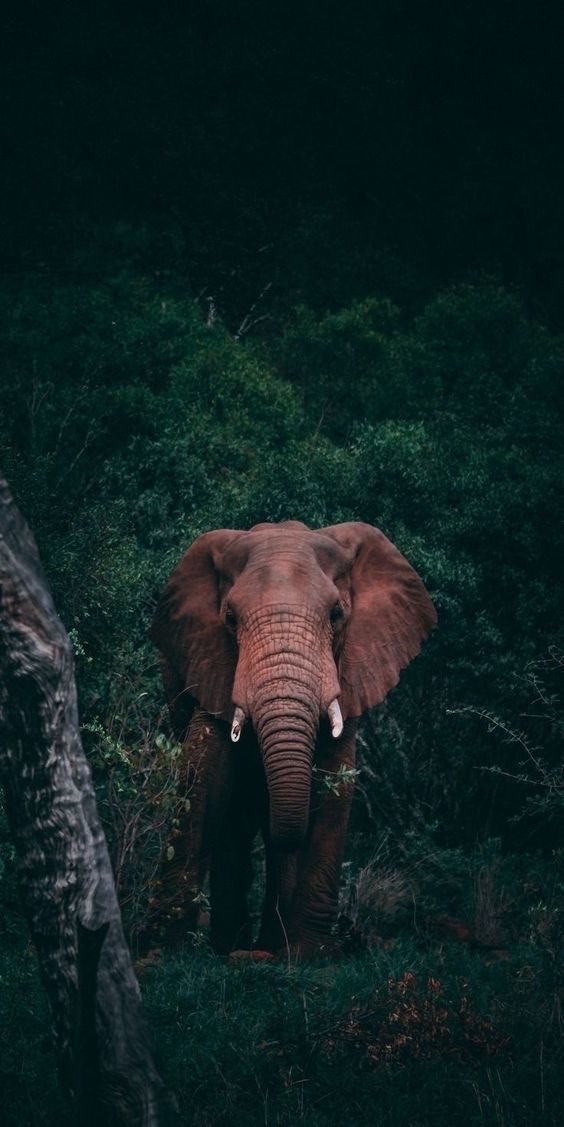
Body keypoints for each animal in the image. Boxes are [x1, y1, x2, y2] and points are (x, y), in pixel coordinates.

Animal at [149, 520, 436, 958]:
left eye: (336, 614)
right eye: (230, 617)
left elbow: (335, 782)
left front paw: (310, 954)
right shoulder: (209, 661)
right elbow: (204, 777)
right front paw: (164, 947)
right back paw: (232, 944)